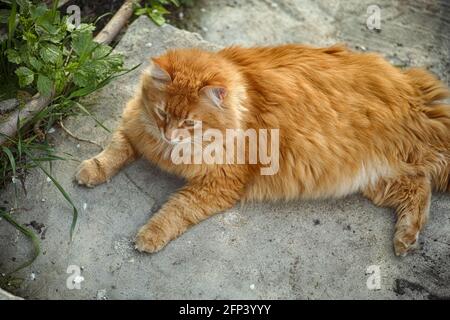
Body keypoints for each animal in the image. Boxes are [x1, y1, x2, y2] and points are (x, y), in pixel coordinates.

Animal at [74, 43, 450, 256]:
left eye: (190, 123)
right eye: (163, 114)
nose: (169, 136)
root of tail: (411, 88)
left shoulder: (218, 185)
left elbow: (175, 211)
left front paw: (150, 235)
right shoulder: (135, 127)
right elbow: (113, 151)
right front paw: (91, 170)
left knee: (422, 187)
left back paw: (406, 240)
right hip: (376, 181)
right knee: (418, 187)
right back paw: (405, 239)